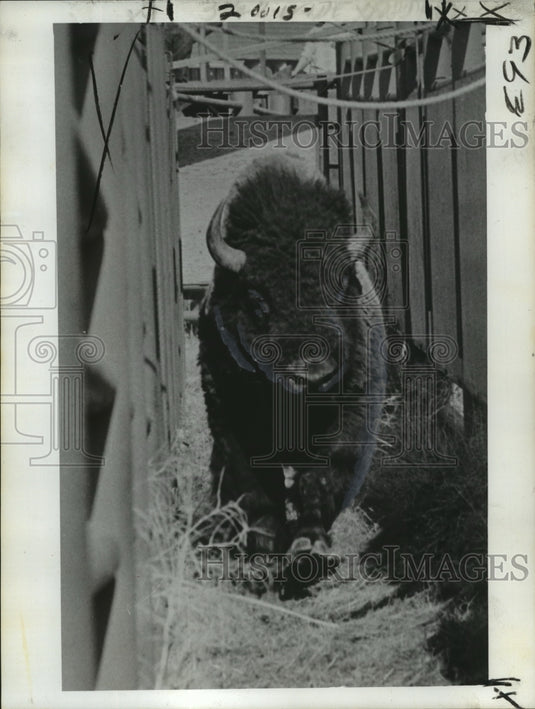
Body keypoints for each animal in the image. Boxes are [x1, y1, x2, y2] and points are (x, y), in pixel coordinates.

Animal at [198, 154, 386, 576]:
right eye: (257, 299)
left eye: (343, 284)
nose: (312, 375)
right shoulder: (232, 424)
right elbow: (254, 485)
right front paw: (266, 546)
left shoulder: (346, 420)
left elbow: (319, 478)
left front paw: (309, 546)